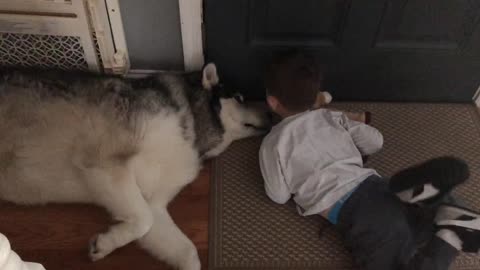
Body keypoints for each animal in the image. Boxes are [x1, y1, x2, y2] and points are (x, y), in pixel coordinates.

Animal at [0, 64, 270, 268]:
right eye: (240, 97)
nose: (272, 110)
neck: (194, 127)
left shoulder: (155, 203)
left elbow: (186, 251)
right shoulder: (104, 163)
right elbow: (143, 220)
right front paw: (105, 243)